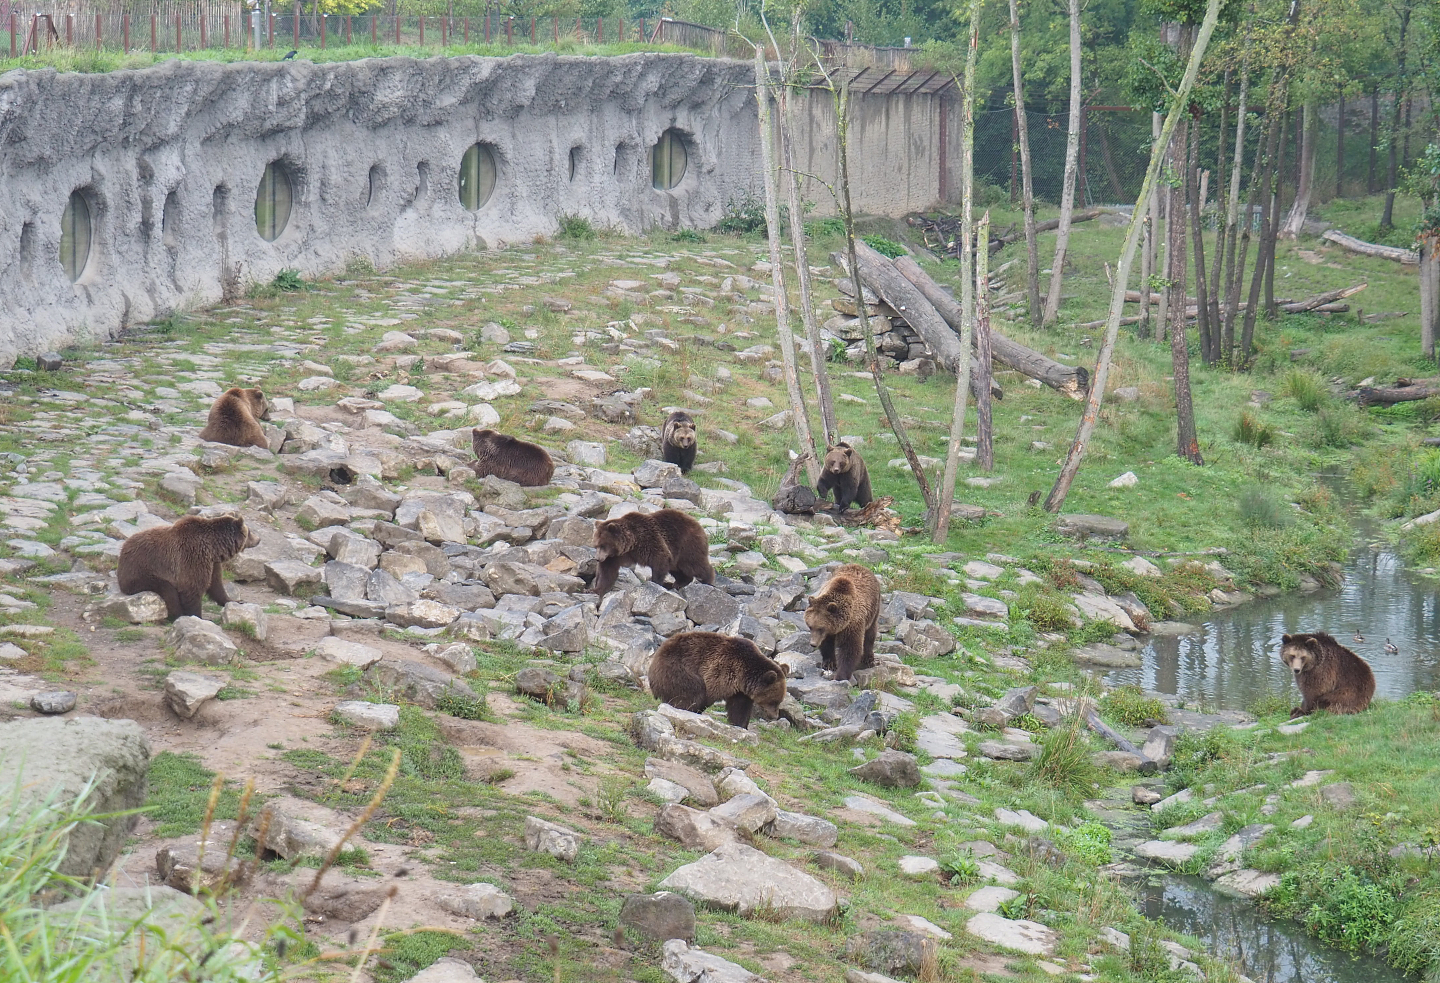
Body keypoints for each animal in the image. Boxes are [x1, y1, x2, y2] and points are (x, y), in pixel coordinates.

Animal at [117, 514, 260, 621]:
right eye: (250, 531)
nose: (259, 539)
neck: (214, 547)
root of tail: (123, 550)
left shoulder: (212, 562)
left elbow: (216, 585)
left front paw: (235, 601)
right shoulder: (193, 557)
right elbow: (192, 589)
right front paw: (197, 616)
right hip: (142, 571)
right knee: (168, 590)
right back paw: (177, 614)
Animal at [647, 631, 788, 729]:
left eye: (779, 701)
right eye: (774, 701)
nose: (775, 716)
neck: (744, 676)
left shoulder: (740, 691)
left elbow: (740, 708)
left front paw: (741, 725)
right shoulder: (722, 670)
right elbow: (709, 695)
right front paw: (698, 710)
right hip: (677, 669)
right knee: (692, 690)